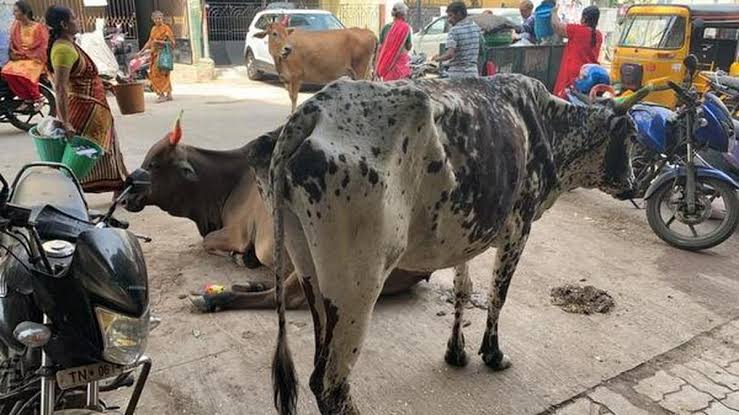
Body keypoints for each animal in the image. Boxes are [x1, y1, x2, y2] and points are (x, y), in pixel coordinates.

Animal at [123, 121, 429, 311]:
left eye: (154, 164)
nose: (124, 198)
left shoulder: (236, 232)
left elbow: (207, 242)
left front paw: (238, 257)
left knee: (282, 298)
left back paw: (215, 299)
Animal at [242, 74, 640, 414]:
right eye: (632, 135)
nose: (634, 184)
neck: (547, 124)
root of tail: (313, 110)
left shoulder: (464, 235)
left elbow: (463, 289)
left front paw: (456, 352)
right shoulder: (519, 227)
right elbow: (497, 295)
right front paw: (493, 354)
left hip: (310, 271)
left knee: (317, 371)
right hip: (357, 287)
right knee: (331, 384)